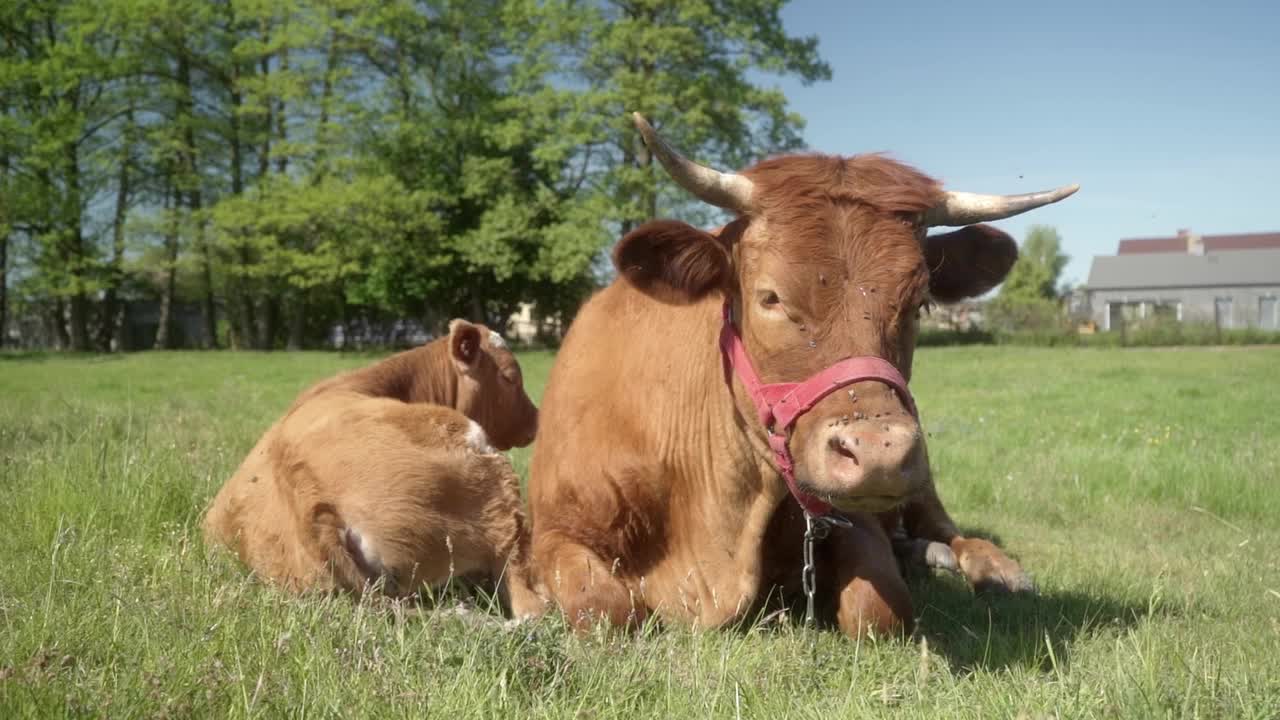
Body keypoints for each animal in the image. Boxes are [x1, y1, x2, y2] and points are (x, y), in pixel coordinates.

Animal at [524, 114, 1075, 635]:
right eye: (770, 297)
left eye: (919, 302)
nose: (878, 451)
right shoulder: (553, 533)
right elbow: (605, 606)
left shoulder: (852, 515)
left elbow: (879, 608)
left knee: (947, 529)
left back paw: (991, 567)